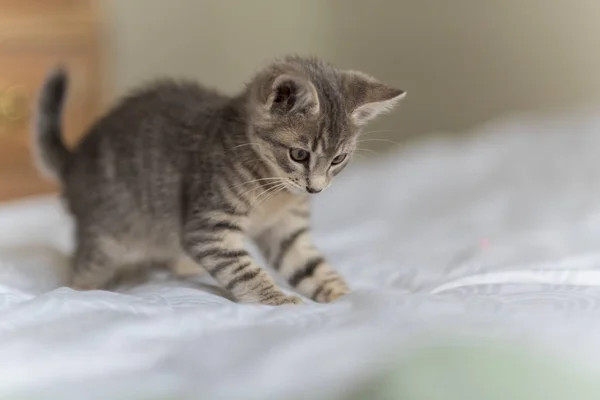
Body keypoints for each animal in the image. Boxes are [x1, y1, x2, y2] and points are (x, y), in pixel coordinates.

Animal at [35, 56, 406, 304]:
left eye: (338, 160)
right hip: (107, 235)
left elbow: (310, 265)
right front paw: (277, 299)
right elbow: (244, 269)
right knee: (83, 268)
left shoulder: (288, 230)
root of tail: (75, 160)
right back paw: (83, 290)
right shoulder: (207, 227)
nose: (315, 188)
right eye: (299, 154)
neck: (274, 190)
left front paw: (342, 295)